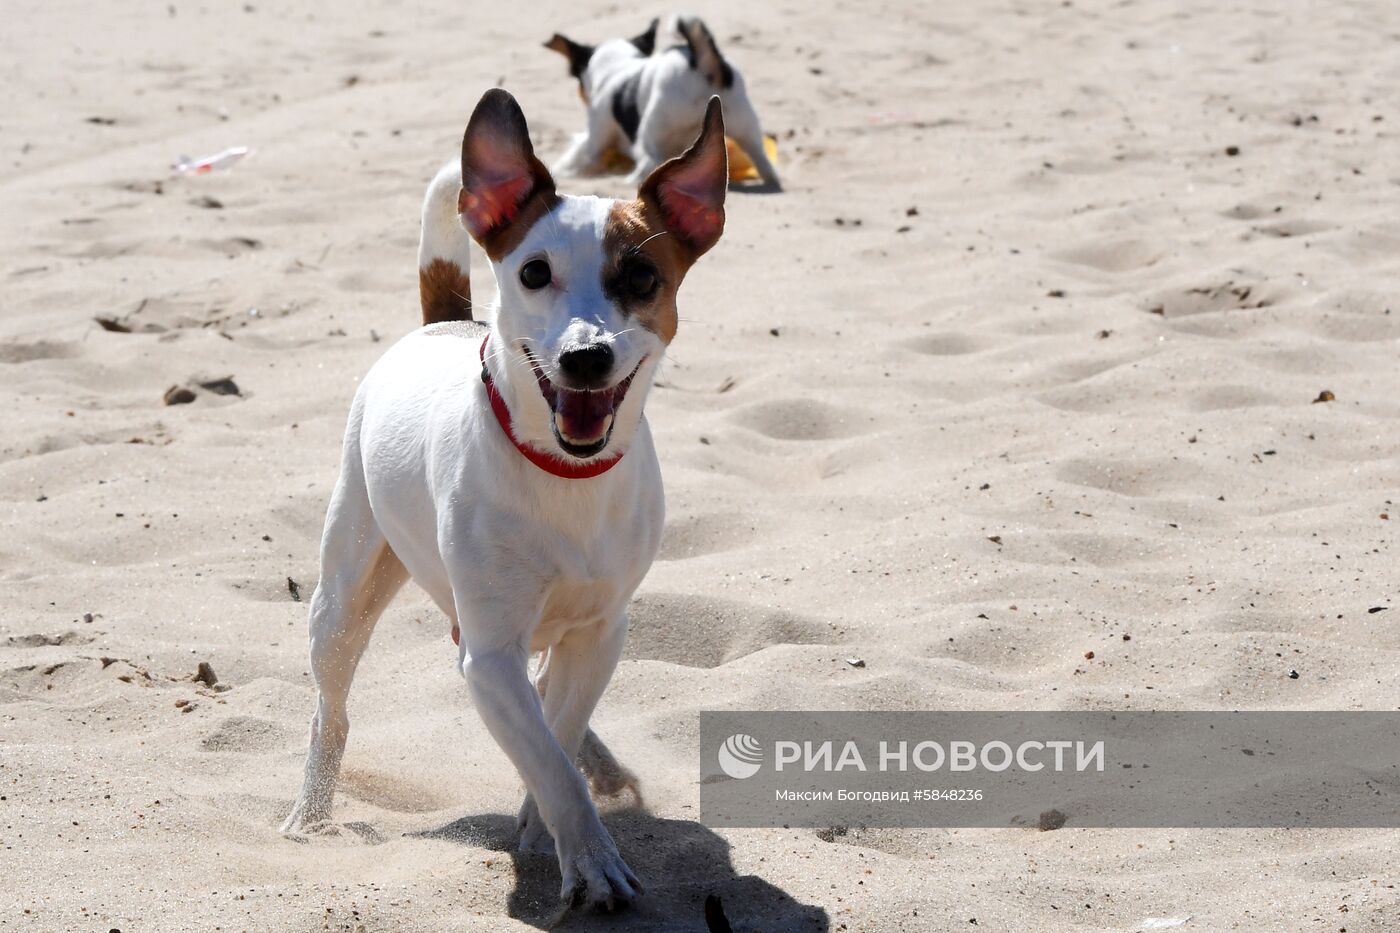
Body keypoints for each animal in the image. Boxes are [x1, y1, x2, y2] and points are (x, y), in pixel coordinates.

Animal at [543, 15, 784, 189]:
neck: (619, 66)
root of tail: (700, 62)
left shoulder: (595, 137)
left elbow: (579, 154)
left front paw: (564, 170)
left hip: (650, 132)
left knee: (648, 162)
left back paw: (631, 181)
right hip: (746, 126)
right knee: (763, 160)